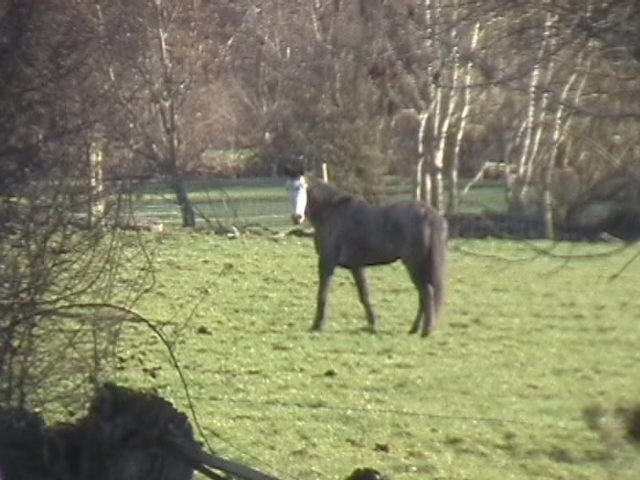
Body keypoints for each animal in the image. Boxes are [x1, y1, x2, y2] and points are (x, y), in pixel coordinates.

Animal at [285, 170, 447, 337]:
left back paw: (426, 330)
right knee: (423, 295)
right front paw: (372, 325)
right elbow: (365, 295)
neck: (331, 212)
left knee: (427, 292)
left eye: (304, 188)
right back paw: (414, 329)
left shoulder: (327, 262)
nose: (297, 217)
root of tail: (427, 213)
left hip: (414, 263)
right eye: (289, 189)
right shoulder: (356, 266)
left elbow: (323, 294)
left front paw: (317, 326)